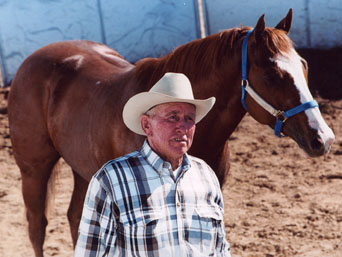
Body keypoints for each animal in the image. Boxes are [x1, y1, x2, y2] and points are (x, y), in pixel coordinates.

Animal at [7, 9, 334, 256]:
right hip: (34, 169)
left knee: (77, 219)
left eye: (303, 66)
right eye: (272, 74)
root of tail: (30, 62)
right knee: (37, 226)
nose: (324, 138)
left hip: (84, 169)